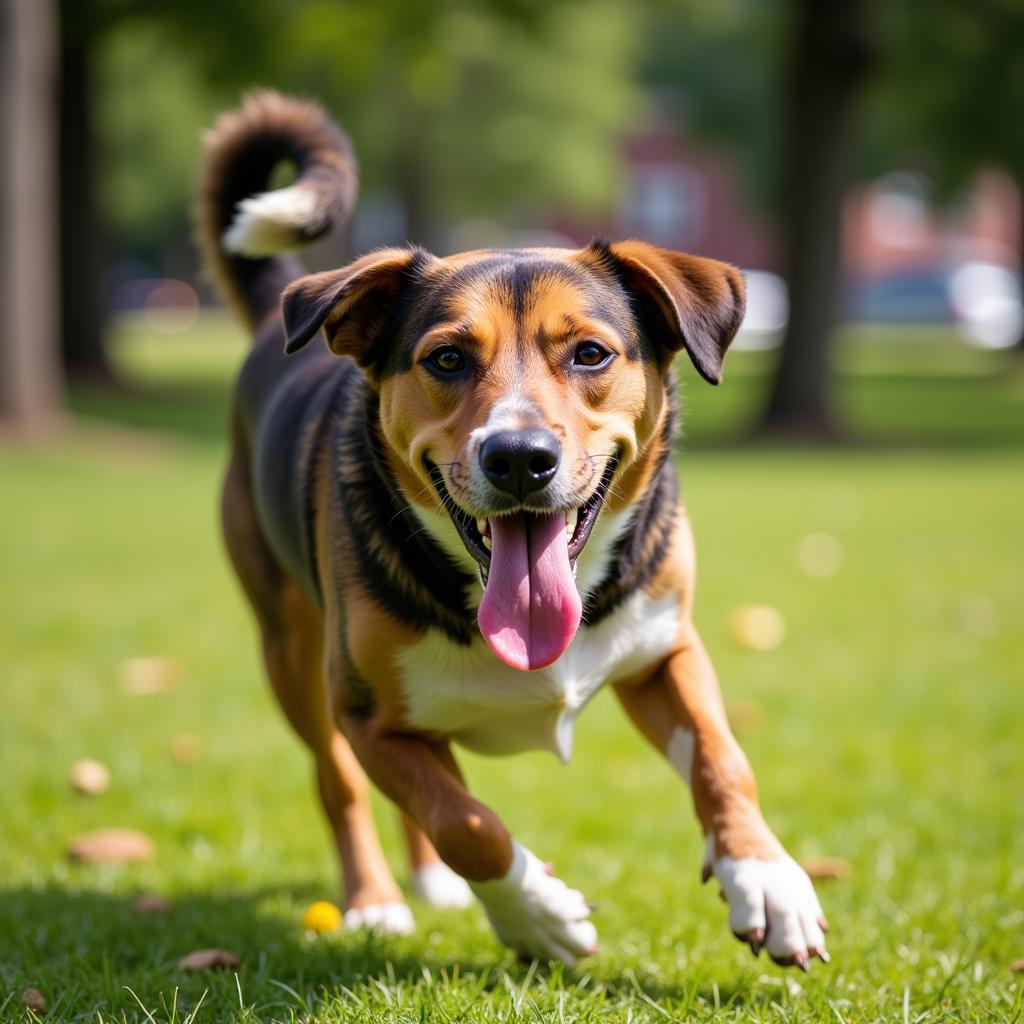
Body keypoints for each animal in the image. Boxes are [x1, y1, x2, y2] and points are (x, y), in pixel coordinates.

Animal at [195, 90, 827, 966]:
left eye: (591, 354)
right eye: (447, 359)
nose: (520, 458)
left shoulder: (666, 651)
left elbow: (722, 759)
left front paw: (766, 878)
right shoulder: (367, 716)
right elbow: (466, 822)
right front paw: (538, 914)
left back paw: (429, 885)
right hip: (290, 652)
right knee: (342, 783)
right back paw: (377, 902)